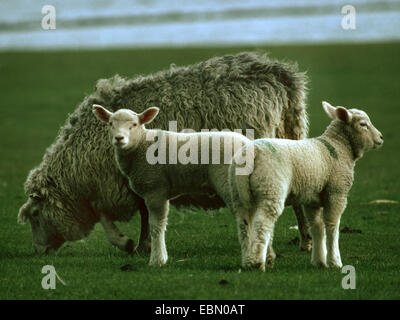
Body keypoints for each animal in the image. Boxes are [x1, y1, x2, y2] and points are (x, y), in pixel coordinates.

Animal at [17, 53, 310, 258]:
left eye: (36, 214)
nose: (38, 252)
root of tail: (281, 77)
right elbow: (135, 214)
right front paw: (138, 244)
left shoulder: (122, 181)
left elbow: (118, 217)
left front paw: (131, 244)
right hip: (291, 138)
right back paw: (306, 240)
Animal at [230, 101, 382, 272]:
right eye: (363, 124)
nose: (381, 138)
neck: (338, 147)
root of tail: (252, 152)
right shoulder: (336, 192)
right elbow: (332, 226)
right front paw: (335, 261)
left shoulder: (312, 199)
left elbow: (317, 228)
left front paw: (319, 261)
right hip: (271, 188)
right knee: (262, 224)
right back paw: (257, 263)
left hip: (239, 193)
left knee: (244, 225)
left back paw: (247, 261)